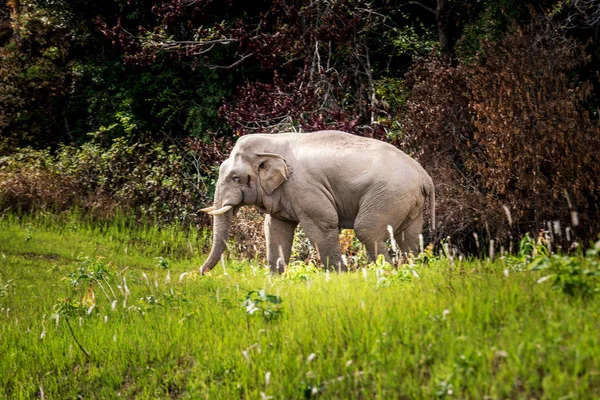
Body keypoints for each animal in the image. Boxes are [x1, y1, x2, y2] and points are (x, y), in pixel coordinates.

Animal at [199, 130, 434, 274]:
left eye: (235, 178)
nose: (199, 273)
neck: (272, 141)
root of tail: (425, 177)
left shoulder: (305, 188)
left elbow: (323, 225)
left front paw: (340, 277)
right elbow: (275, 229)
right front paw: (275, 280)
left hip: (389, 195)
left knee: (367, 231)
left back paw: (383, 272)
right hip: (408, 202)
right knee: (409, 238)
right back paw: (412, 270)